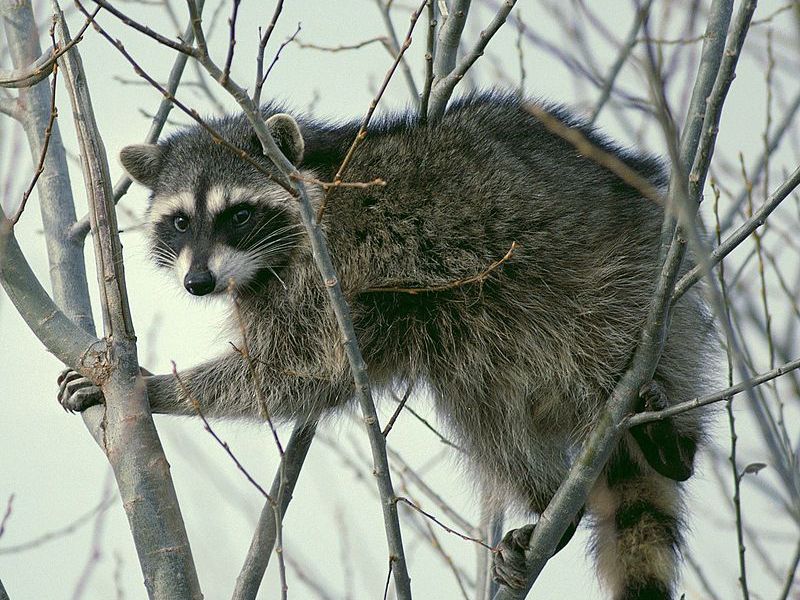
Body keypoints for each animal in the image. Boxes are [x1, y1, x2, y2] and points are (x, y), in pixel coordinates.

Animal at [58, 92, 716, 599]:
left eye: (237, 215)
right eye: (179, 222)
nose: (199, 282)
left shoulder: (332, 268)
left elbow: (291, 368)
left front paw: (157, 386)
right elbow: (303, 378)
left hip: (622, 277)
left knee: (600, 340)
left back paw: (672, 438)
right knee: (480, 404)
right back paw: (550, 499)